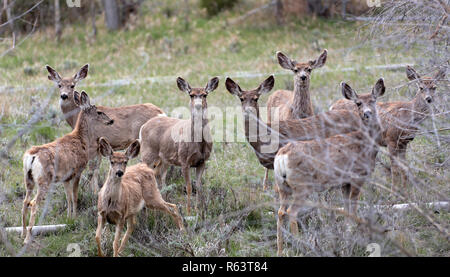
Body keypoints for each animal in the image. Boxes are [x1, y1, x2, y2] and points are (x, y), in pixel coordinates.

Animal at [22, 91, 115, 244]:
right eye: (99, 112)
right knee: (33, 203)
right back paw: (28, 238)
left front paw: (69, 218)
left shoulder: (65, 178)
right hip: (44, 180)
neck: (81, 139)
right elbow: (75, 196)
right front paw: (75, 217)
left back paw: (23, 233)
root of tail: (32, 156)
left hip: (28, 179)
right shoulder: (78, 170)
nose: (111, 120)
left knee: (25, 202)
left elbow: (68, 197)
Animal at [46, 63, 165, 192]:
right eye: (59, 85)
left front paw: (93, 191)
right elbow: (96, 169)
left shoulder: (93, 145)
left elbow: (92, 170)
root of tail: (161, 113)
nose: (64, 96)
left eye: (72, 85)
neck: (76, 118)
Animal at [140, 76, 219, 215]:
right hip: (147, 154)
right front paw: (188, 211)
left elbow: (198, 186)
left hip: (164, 160)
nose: (198, 105)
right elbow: (188, 187)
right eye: (191, 95)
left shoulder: (202, 161)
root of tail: (144, 126)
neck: (199, 143)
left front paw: (199, 209)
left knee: (159, 175)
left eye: (205, 94)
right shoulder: (184, 160)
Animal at [272, 78, 384, 256]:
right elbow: (353, 208)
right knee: (292, 212)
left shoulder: (344, 182)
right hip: (302, 186)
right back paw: (302, 247)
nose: (367, 113)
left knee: (281, 212)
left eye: (373, 100)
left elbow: (346, 209)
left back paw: (280, 250)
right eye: (358, 103)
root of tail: (282, 156)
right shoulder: (357, 176)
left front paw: (347, 234)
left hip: (283, 186)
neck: (366, 143)